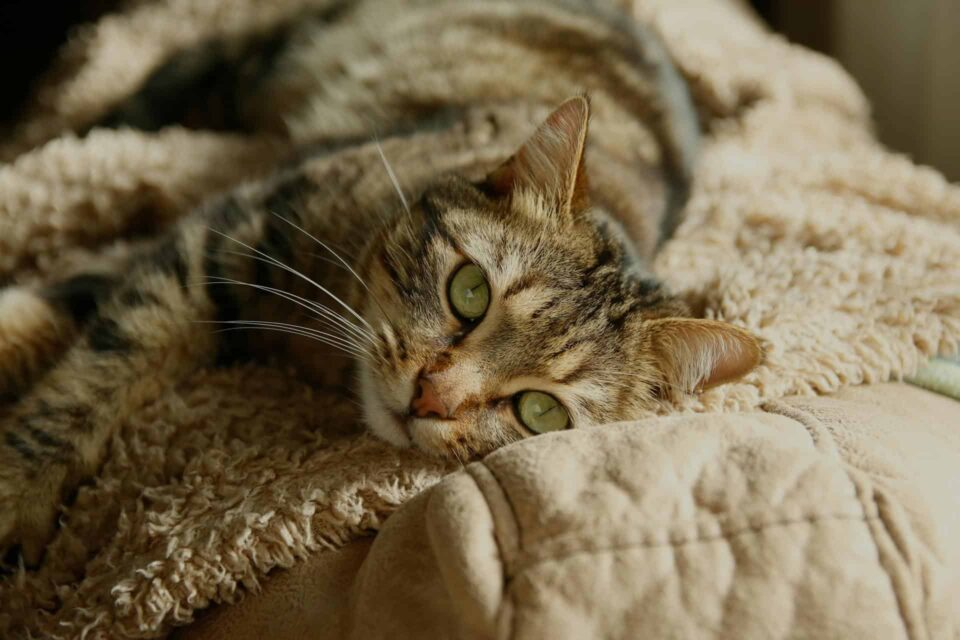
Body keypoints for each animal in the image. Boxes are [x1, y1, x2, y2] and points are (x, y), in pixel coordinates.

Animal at [0, 1, 764, 568]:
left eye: (540, 411)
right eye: (469, 292)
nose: (430, 395)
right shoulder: (231, 228)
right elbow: (101, 363)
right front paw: (18, 492)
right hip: (268, 60)